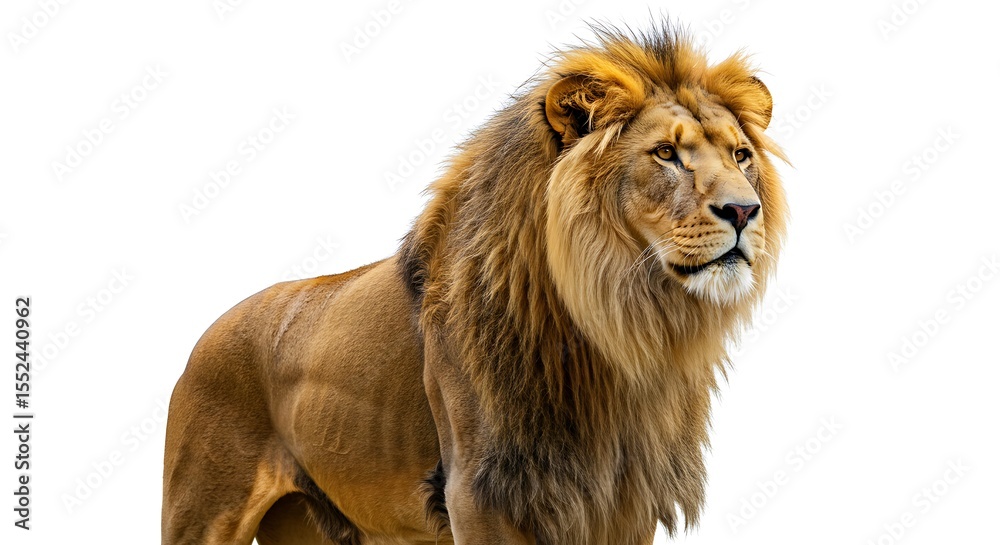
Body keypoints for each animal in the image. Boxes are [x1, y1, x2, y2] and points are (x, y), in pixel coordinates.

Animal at [162, 22, 788, 545]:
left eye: (741, 155)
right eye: (665, 153)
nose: (743, 210)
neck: (615, 329)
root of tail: (207, 333)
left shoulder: (621, 499)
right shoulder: (481, 492)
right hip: (203, 510)